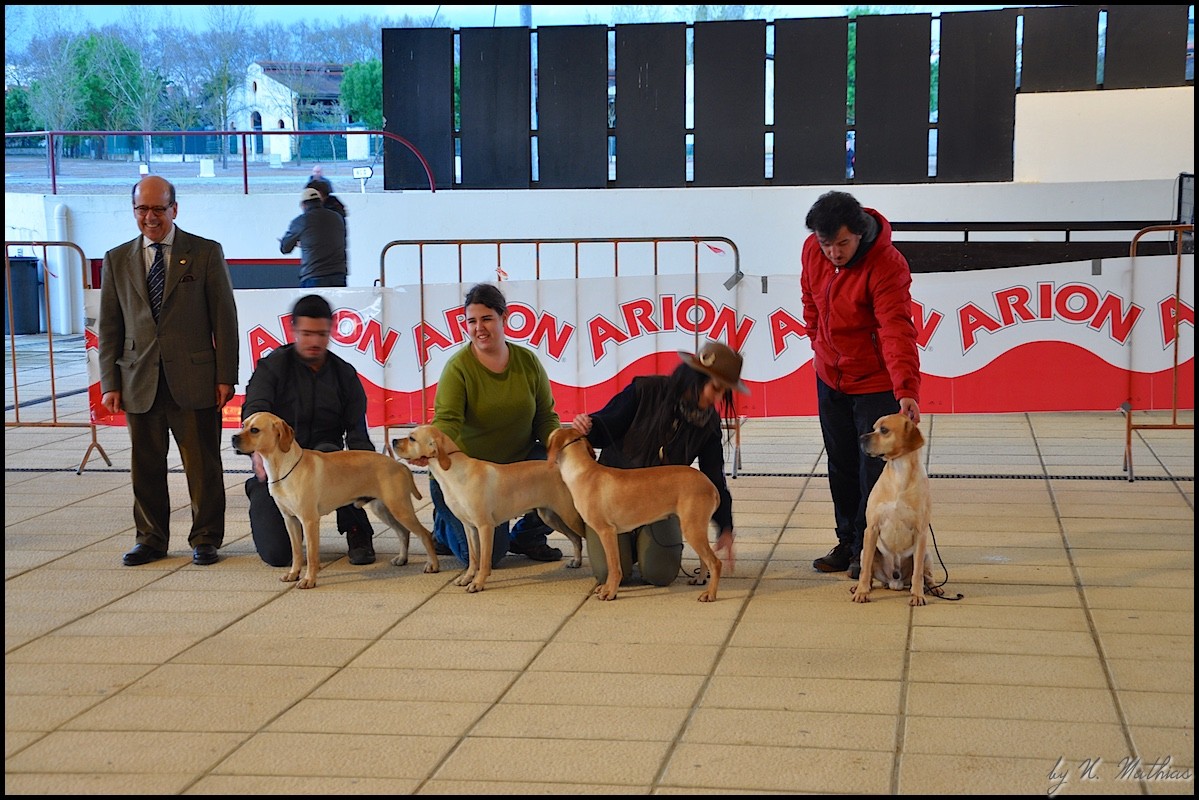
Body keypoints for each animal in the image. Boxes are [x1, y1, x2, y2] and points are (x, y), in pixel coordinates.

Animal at [232, 411, 439, 589]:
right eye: (243, 425)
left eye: (255, 430)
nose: (233, 438)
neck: (284, 467)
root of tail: (399, 465)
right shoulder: (290, 520)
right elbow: (297, 552)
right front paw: (293, 574)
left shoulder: (309, 521)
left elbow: (312, 555)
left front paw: (309, 580)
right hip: (383, 509)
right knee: (403, 533)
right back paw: (402, 559)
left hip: (399, 508)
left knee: (424, 534)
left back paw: (433, 565)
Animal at [392, 424, 586, 594]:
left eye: (412, 438)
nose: (393, 441)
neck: (453, 473)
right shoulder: (469, 527)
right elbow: (473, 558)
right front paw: (466, 578)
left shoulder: (485, 526)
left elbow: (485, 560)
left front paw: (478, 583)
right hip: (551, 516)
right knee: (576, 539)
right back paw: (576, 561)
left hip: (569, 515)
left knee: (583, 536)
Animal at [546, 426, 723, 602]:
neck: (582, 472)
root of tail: (710, 484)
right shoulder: (612, 534)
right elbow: (611, 566)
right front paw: (606, 588)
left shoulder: (606, 531)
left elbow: (614, 567)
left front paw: (610, 592)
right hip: (695, 527)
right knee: (704, 559)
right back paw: (700, 579)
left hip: (692, 528)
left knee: (715, 562)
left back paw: (710, 594)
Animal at [853, 412, 945, 606]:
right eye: (873, 427)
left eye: (884, 430)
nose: (861, 437)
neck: (899, 472)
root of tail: (894, 582)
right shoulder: (871, 528)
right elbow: (865, 571)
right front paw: (861, 592)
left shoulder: (921, 532)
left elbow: (918, 574)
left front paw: (917, 595)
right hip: (866, 550)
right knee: (868, 572)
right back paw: (861, 586)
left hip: (927, 553)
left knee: (926, 576)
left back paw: (934, 588)